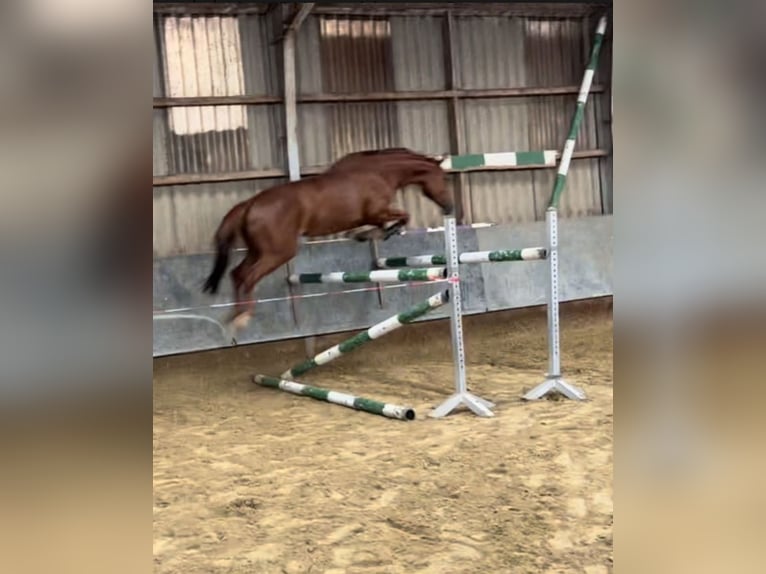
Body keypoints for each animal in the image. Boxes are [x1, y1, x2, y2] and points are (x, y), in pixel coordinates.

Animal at [204, 146, 456, 340]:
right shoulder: (376, 212)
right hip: (277, 253)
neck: (379, 172)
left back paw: (233, 318)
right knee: (248, 277)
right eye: (444, 178)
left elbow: (395, 220)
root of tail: (249, 205)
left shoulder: (375, 215)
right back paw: (243, 318)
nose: (449, 206)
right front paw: (374, 234)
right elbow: (403, 217)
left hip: (258, 251)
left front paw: (366, 235)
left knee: (237, 273)